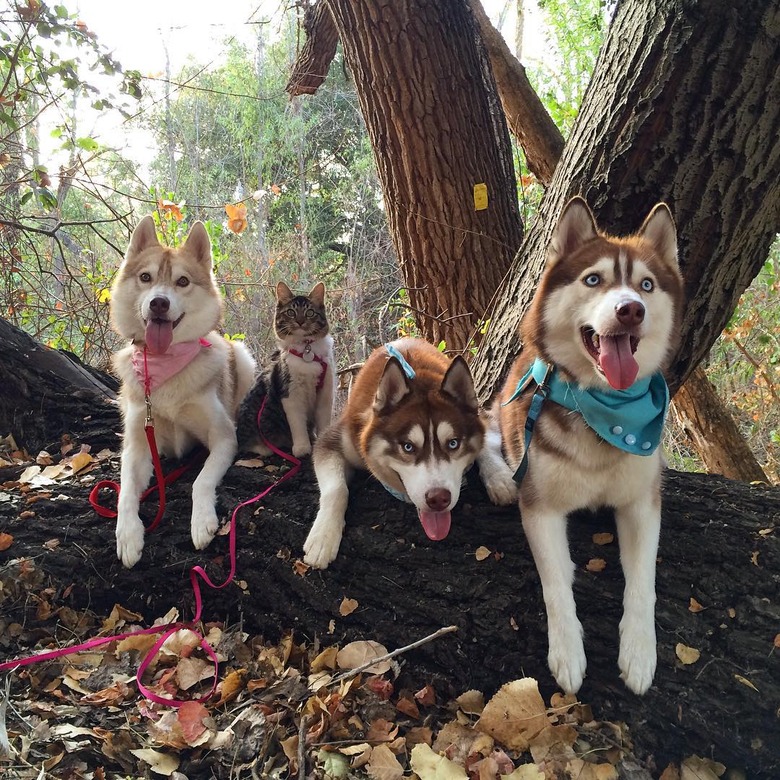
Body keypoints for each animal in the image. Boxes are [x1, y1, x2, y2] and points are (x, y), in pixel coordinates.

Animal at [109, 215, 254, 568]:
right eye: (145, 277)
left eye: (183, 281)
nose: (159, 303)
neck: (165, 365)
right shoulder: (137, 444)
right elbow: (125, 491)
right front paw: (128, 534)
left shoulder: (224, 438)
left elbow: (201, 481)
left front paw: (201, 521)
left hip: (241, 356)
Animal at [238, 282, 336, 458]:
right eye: (291, 312)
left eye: (309, 312)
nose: (300, 321)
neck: (307, 351)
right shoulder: (290, 392)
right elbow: (297, 424)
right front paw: (302, 448)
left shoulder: (326, 392)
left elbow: (324, 421)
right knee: (249, 443)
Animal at [304, 338, 516, 568]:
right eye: (408, 446)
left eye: (453, 443)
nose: (438, 499)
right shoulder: (333, 439)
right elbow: (337, 489)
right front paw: (323, 537)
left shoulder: (483, 417)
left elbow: (488, 443)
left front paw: (500, 479)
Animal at [500, 197, 684, 696]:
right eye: (594, 279)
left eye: (646, 284)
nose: (630, 310)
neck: (606, 410)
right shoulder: (540, 506)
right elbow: (556, 583)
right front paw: (567, 651)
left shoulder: (642, 501)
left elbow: (643, 581)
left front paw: (639, 652)